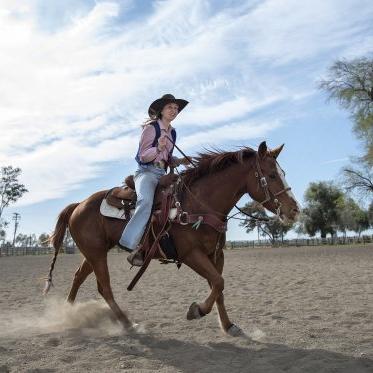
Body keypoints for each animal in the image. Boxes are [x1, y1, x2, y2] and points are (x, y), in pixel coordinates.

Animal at [44, 142, 300, 334]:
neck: (198, 203)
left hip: (93, 252)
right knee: (104, 287)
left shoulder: (216, 254)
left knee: (78, 277)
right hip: (96, 253)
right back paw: (127, 323)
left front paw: (228, 326)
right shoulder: (191, 254)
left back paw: (68, 314)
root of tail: (78, 205)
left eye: (283, 173)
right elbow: (218, 282)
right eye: (271, 175)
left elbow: (218, 287)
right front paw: (196, 310)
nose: (294, 210)